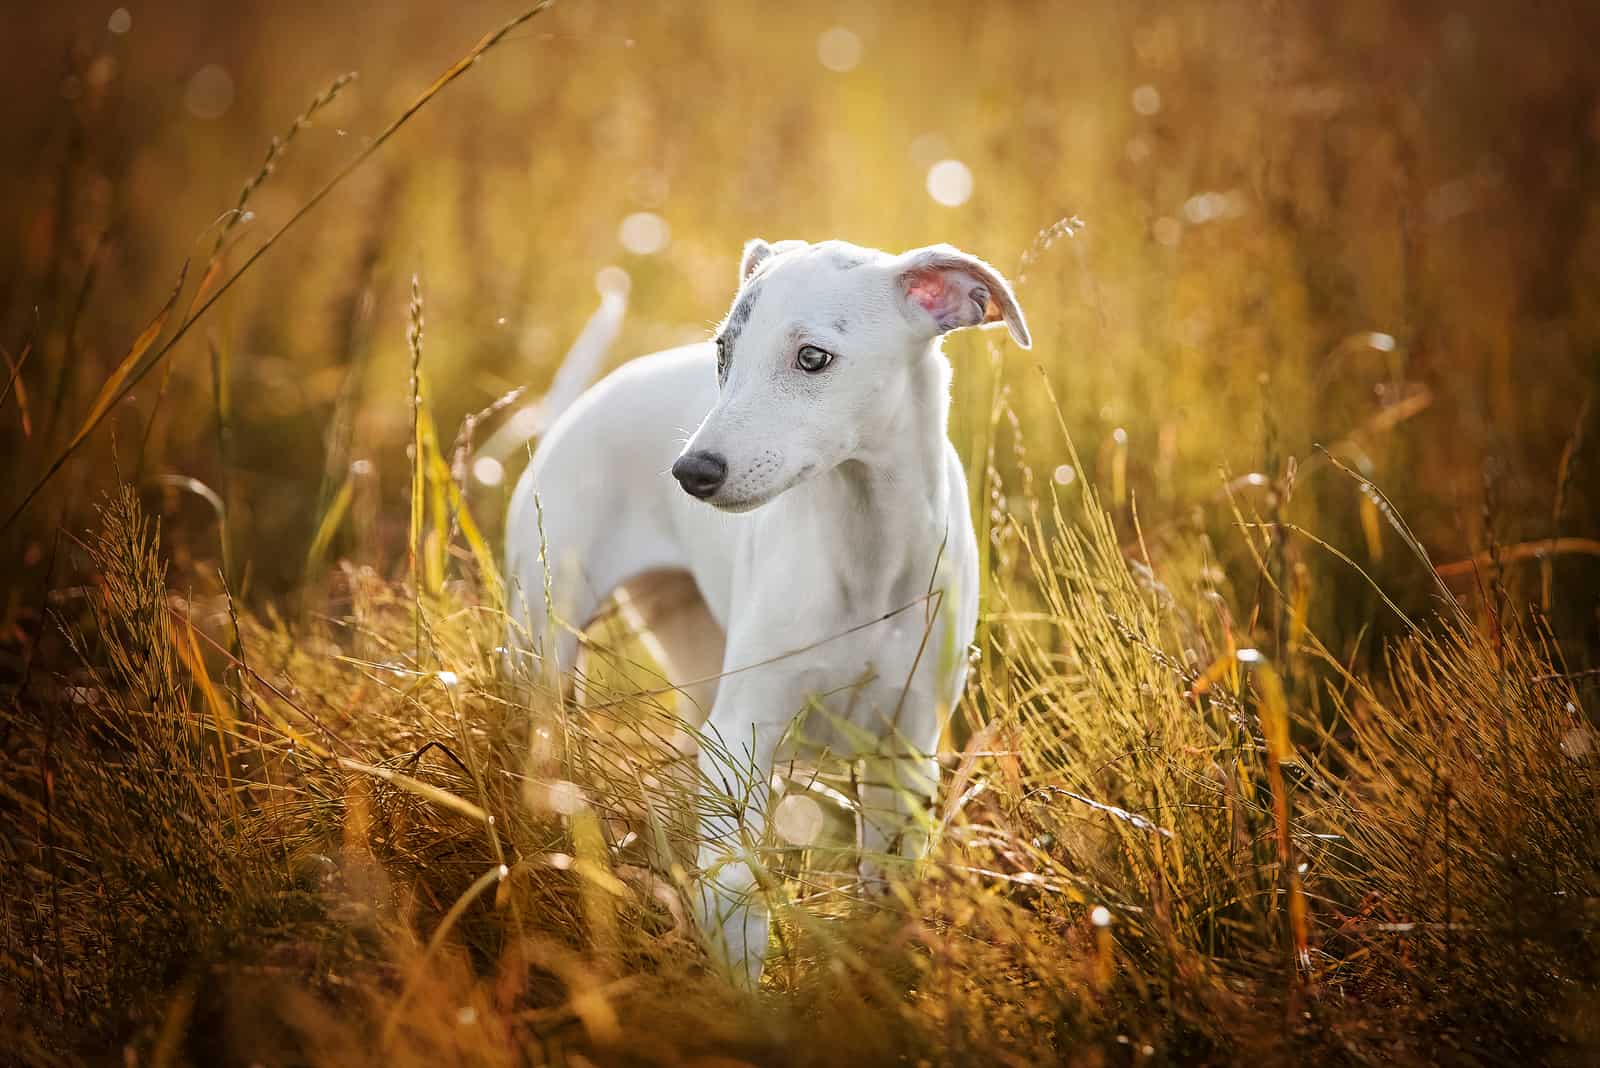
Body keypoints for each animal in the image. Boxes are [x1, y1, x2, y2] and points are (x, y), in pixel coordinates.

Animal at [505, 235, 1030, 984]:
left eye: (812, 357)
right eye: (724, 352)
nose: (691, 473)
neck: (864, 552)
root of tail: (584, 403)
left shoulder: (905, 750)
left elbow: (886, 890)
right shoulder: (742, 737)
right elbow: (734, 893)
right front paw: (744, 995)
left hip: (693, 649)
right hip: (544, 642)